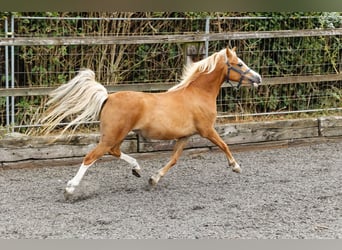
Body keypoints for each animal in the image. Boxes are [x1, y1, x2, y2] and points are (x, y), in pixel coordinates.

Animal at [40, 47, 260, 200]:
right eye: (239, 64)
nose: (258, 78)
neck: (199, 94)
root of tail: (108, 97)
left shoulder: (184, 136)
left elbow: (174, 159)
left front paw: (153, 179)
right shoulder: (206, 130)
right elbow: (224, 145)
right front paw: (236, 166)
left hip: (116, 135)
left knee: (114, 151)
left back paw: (137, 169)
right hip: (112, 135)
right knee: (91, 157)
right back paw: (69, 189)